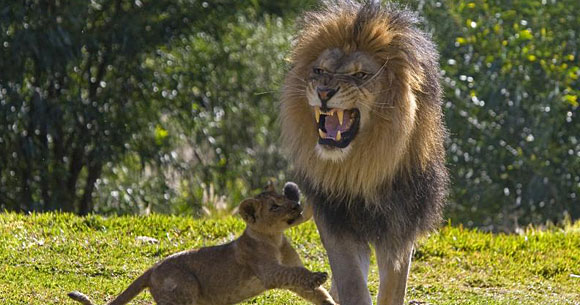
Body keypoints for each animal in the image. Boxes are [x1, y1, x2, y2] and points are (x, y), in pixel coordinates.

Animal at [280, 1, 448, 302]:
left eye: (359, 75)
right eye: (319, 71)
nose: (323, 92)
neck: (361, 167)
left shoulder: (399, 229)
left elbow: (393, 289)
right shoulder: (337, 223)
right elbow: (352, 284)